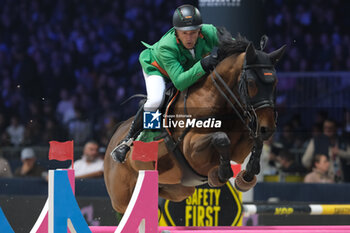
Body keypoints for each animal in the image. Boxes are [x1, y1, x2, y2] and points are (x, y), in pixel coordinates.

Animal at [104, 35, 284, 214]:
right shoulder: (192, 150)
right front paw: (220, 174)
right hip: (121, 199)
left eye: (275, 82)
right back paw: (121, 150)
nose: (266, 128)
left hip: (178, 189)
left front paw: (246, 177)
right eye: (251, 82)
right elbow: (220, 137)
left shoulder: (240, 148)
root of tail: (115, 135)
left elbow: (255, 142)